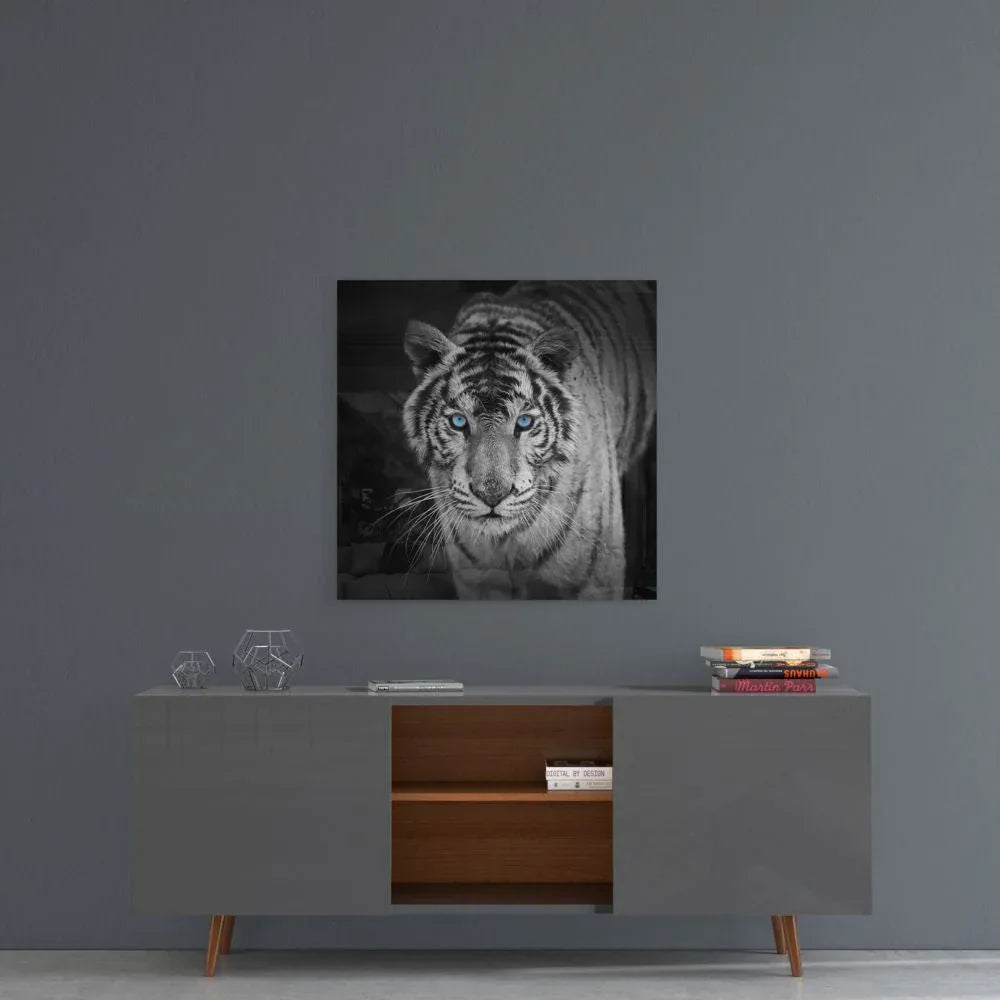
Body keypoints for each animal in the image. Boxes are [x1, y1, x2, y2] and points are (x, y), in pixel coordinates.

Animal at [401, 281, 655, 599]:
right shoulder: (479, 582)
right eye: (459, 422)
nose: (492, 496)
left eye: (524, 422)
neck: (505, 540)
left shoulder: (596, 580)